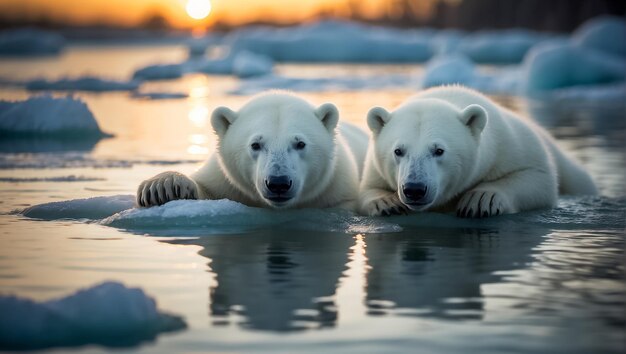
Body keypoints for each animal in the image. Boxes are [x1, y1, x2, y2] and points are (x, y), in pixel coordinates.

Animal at [136, 92, 368, 212]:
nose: (278, 183)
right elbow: (204, 189)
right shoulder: (224, 181)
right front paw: (162, 187)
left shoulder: (337, 188)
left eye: (300, 144)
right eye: (255, 144)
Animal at [356, 86, 596, 218]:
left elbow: (539, 179)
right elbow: (367, 189)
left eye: (439, 150)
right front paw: (387, 203)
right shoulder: (375, 169)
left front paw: (482, 199)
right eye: (398, 151)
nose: (414, 189)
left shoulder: (511, 144)